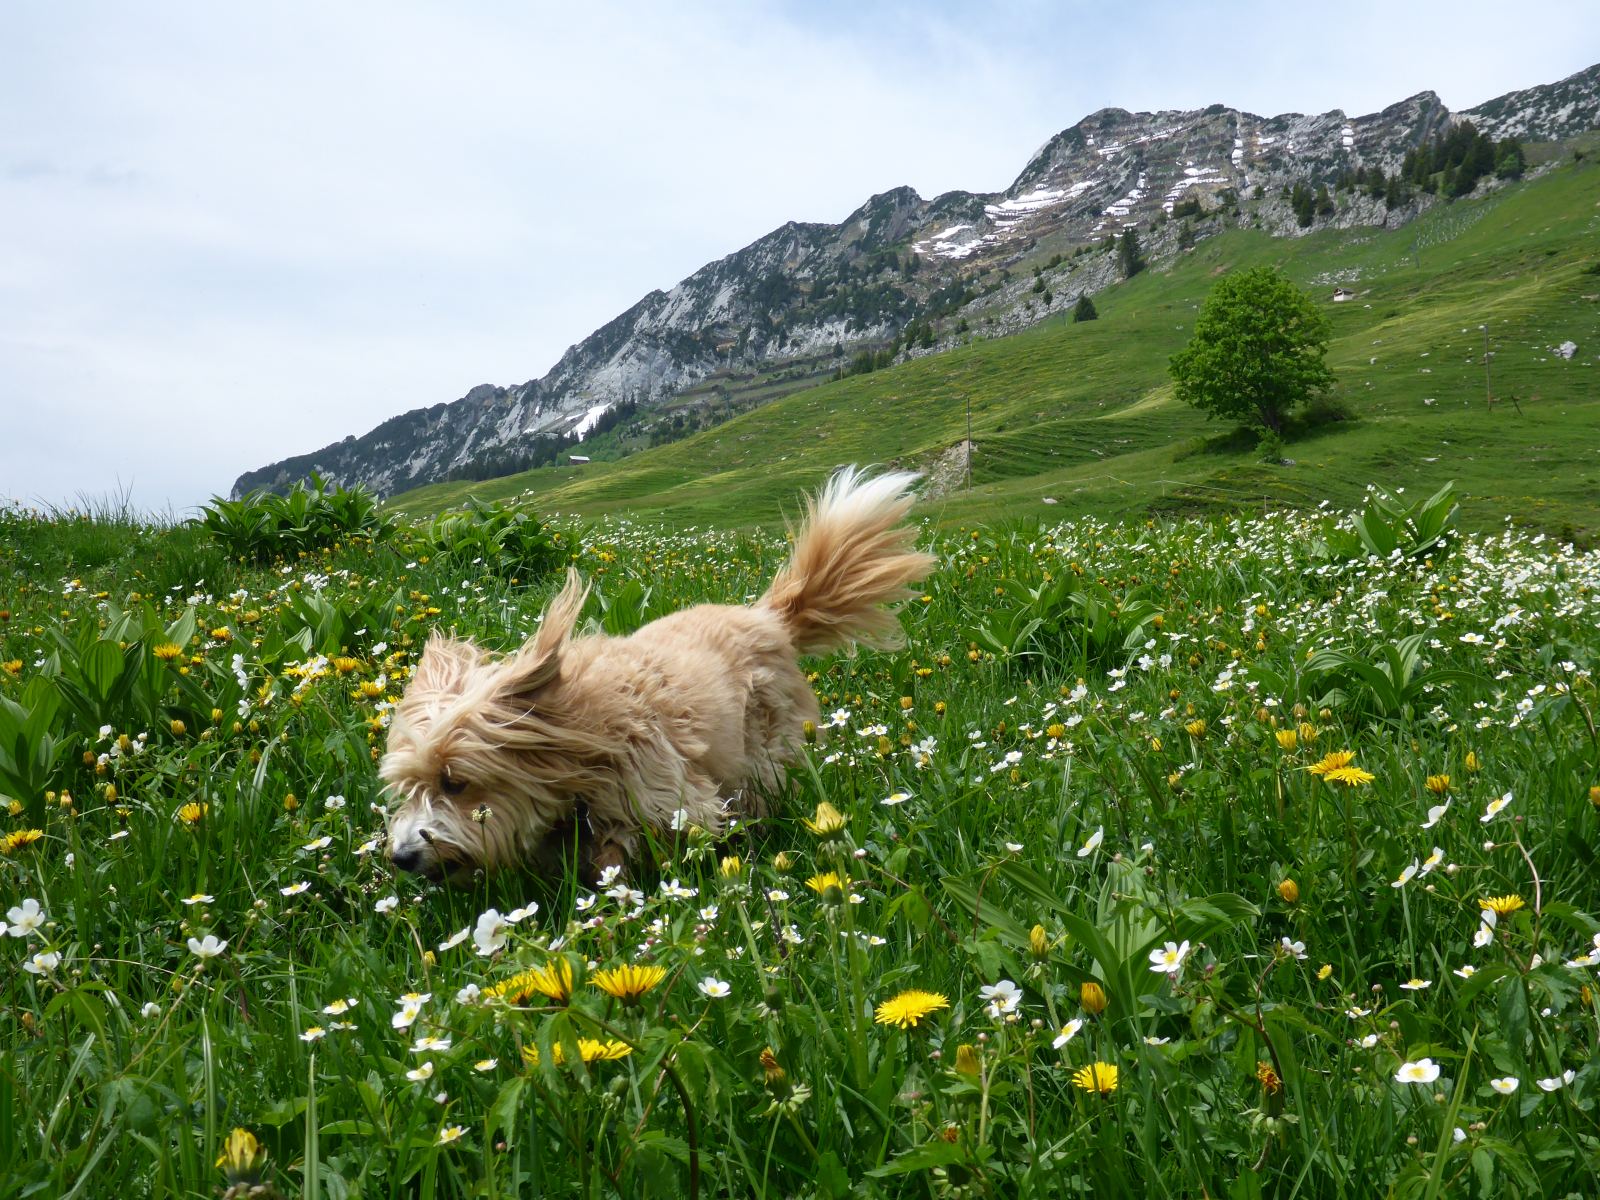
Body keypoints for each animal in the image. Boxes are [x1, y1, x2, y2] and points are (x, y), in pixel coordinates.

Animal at [380, 467, 934, 883]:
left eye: (455, 783)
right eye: (408, 786)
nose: (402, 857)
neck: (579, 736)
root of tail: (768, 617)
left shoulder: (674, 801)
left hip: (766, 753)